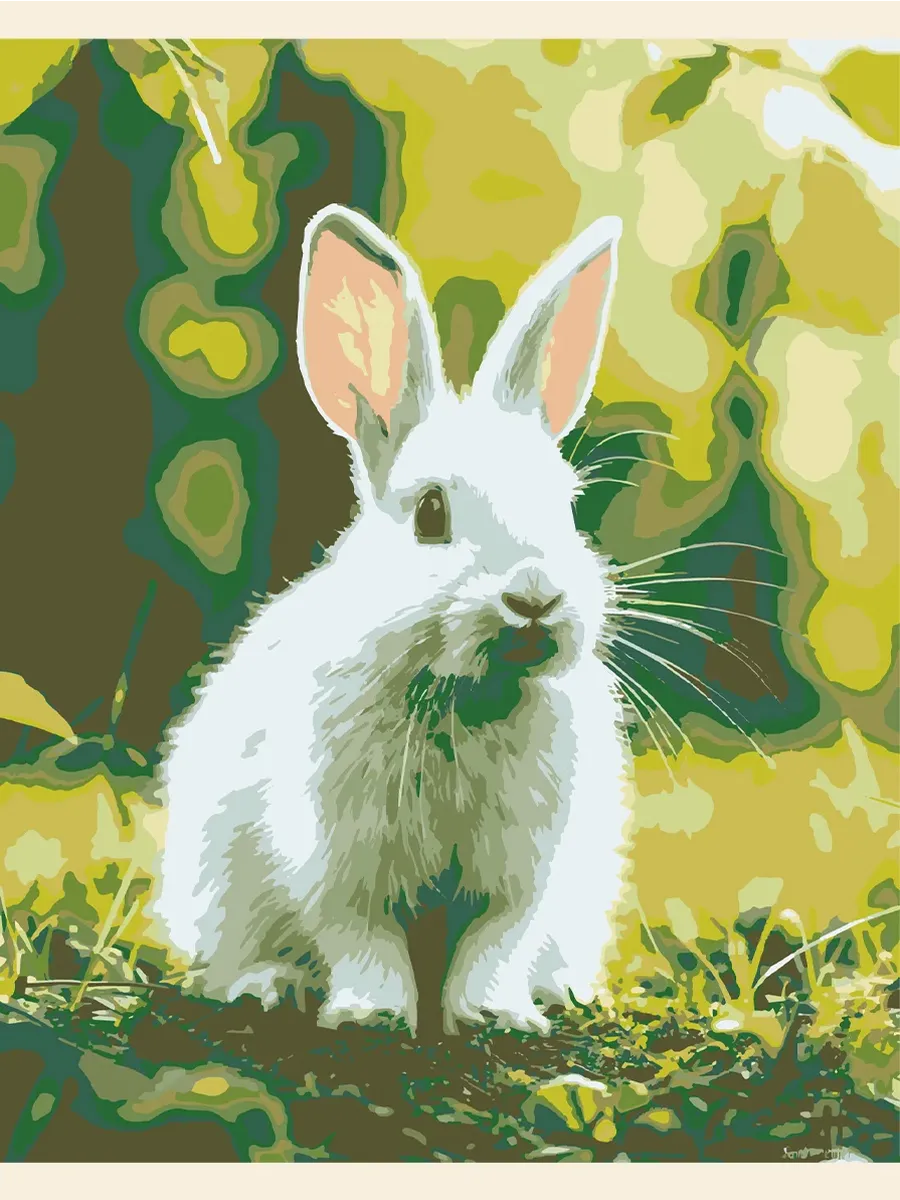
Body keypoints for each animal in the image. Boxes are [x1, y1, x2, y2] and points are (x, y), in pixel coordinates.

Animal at [150, 203, 631, 1036]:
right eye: (431, 513)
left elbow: (495, 943)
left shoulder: (523, 876)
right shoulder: (338, 862)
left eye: (567, 506)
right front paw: (368, 1017)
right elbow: (360, 937)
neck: (464, 692)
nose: (534, 598)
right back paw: (270, 986)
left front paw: (496, 1017)